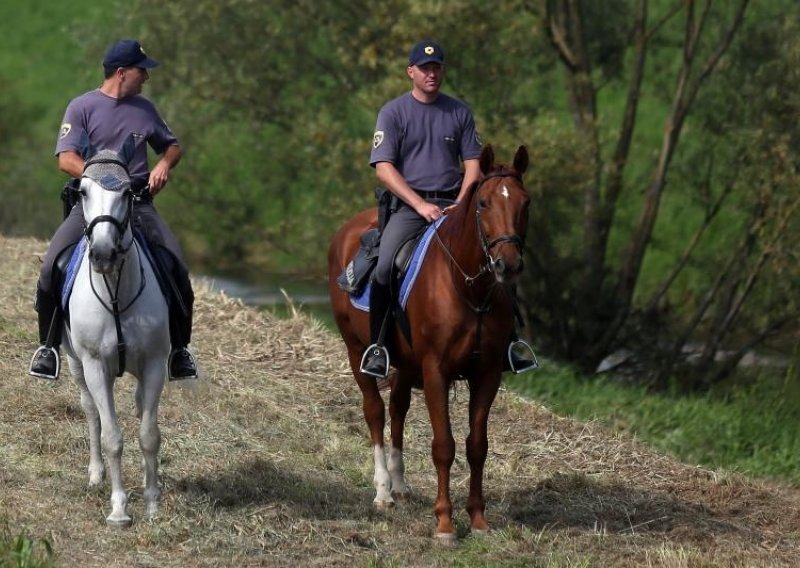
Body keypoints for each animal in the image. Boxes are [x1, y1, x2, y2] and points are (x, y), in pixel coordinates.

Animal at [64, 138, 172, 528]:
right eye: (83, 191)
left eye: (128, 192)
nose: (103, 254)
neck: (116, 293)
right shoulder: (95, 364)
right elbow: (112, 436)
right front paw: (119, 509)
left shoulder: (155, 363)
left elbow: (149, 434)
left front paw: (153, 503)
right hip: (77, 365)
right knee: (91, 411)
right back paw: (96, 474)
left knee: (140, 407)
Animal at [328, 144, 528, 544]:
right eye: (483, 203)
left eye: (525, 203)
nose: (508, 264)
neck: (466, 286)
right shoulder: (436, 370)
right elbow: (443, 446)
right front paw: (445, 524)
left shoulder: (487, 373)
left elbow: (477, 446)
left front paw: (478, 519)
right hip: (356, 351)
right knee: (375, 411)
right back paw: (383, 492)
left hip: (406, 364)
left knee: (398, 409)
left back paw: (400, 485)